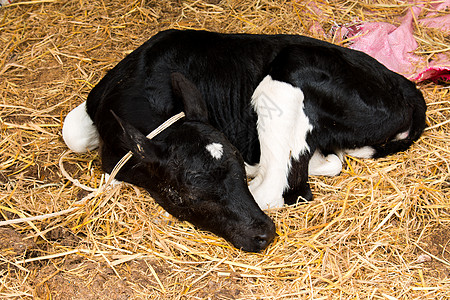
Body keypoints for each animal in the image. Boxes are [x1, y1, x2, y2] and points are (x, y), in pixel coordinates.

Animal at [62, 29, 426, 251]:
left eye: (236, 167)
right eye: (191, 194)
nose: (263, 233)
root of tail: (408, 89)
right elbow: (72, 132)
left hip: (285, 80)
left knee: (279, 187)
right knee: (329, 162)